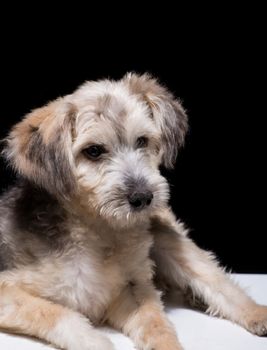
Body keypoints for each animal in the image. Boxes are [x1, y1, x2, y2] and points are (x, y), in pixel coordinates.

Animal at [0, 72, 266, 348]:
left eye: (142, 141)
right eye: (93, 151)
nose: (143, 197)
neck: (100, 232)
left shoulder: (133, 287)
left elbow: (157, 324)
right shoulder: (8, 291)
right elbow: (57, 314)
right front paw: (96, 343)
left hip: (166, 236)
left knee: (216, 281)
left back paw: (255, 313)